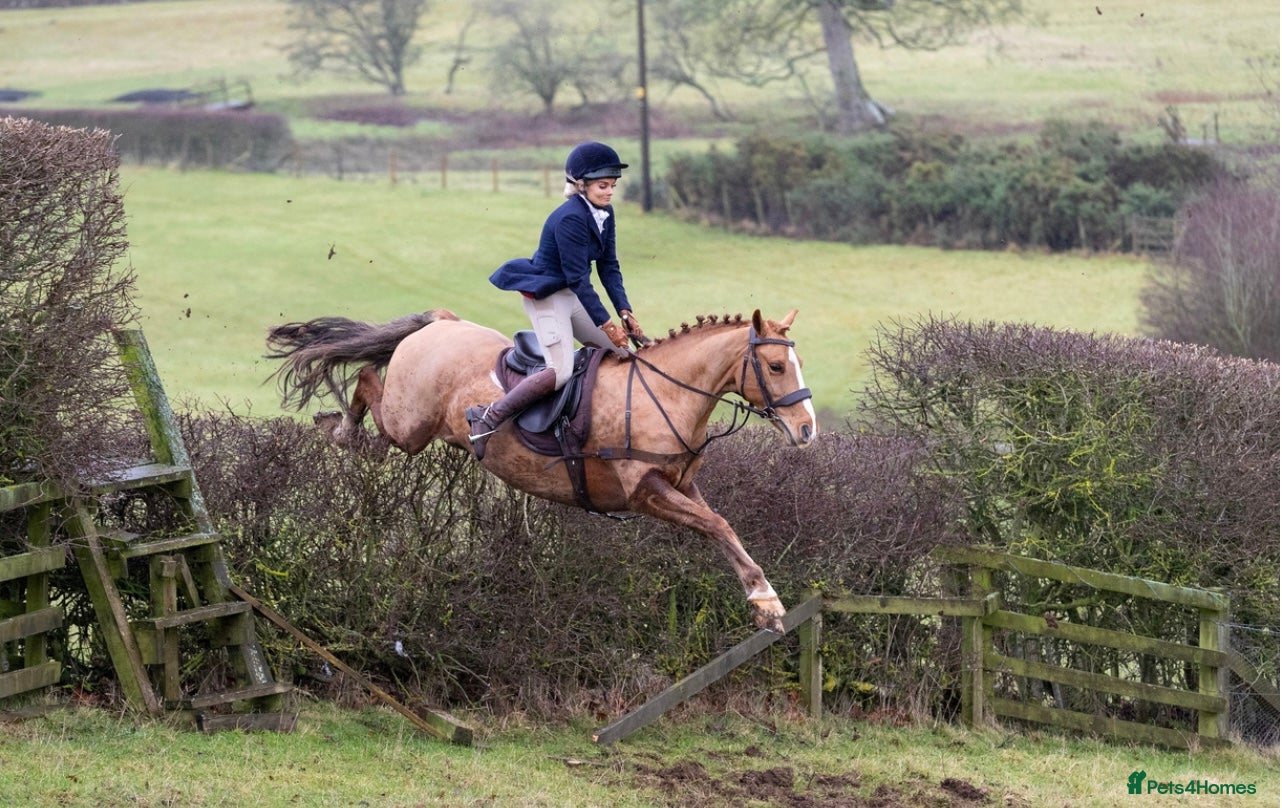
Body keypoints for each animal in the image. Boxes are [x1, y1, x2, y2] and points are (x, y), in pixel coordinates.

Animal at [265, 308, 817, 632]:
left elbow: (720, 527)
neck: (667, 394)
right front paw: (766, 599)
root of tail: (441, 322)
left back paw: (343, 430)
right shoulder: (646, 492)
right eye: (774, 368)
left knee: (371, 403)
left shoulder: (681, 484)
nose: (807, 429)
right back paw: (340, 428)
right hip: (411, 423)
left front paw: (763, 598)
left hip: (413, 427)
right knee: (364, 377)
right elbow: (718, 524)